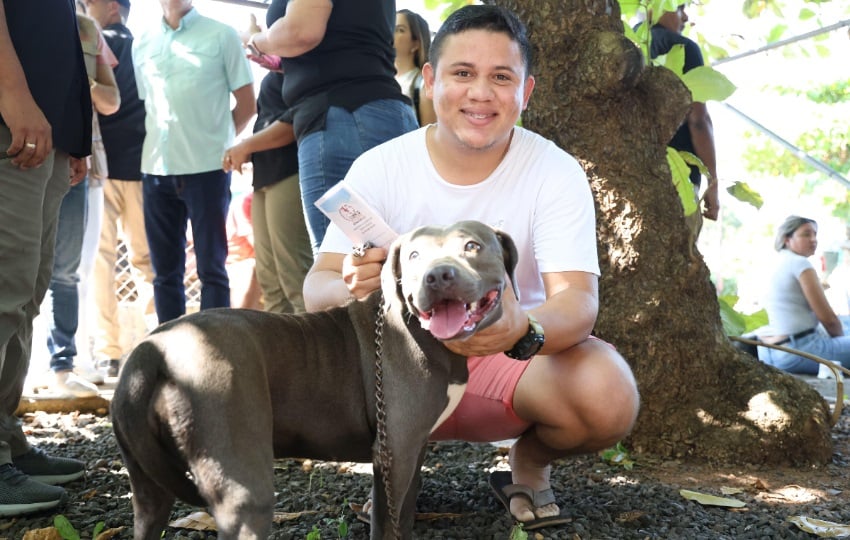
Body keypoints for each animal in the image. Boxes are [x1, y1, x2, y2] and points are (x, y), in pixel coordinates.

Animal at [106, 220, 516, 540]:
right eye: (414, 256)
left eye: (472, 246)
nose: (438, 276)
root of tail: (152, 350)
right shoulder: (394, 453)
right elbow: (387, 523)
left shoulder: (411, 449)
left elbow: (404, 513)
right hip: (242, 485)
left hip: (149, 486)